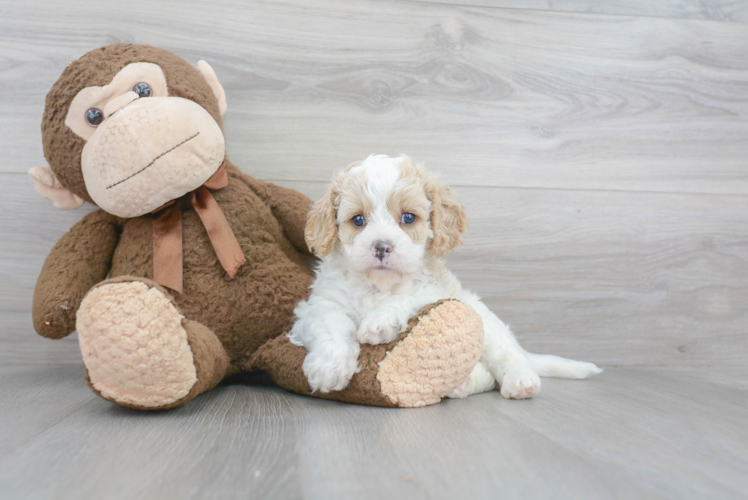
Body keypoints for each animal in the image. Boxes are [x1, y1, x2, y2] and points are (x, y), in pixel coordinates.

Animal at [288, 154, 600, 400]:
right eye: (358, 220)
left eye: (408, 218)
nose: (382, 247)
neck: (379, 286)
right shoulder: (320, 305)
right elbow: (332, 325)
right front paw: (328, 368)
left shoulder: (434, 292)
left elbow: (408, 297)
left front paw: (380, 322)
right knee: (483, 376)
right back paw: (459, 386)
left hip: (485, 324)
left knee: (506, 358)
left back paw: (521, 380)